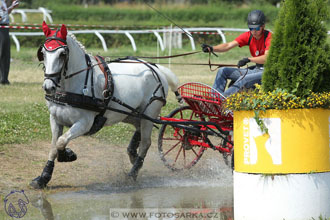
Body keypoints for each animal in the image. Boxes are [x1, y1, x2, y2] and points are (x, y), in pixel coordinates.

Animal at [30, 21, 180, 188]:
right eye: (43, 53)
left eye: (62, 54)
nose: (48, 86)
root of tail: (156, 68)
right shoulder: (55, 119)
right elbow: (53, 146)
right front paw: (43, 177)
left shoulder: (85, 123)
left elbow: (61, 141)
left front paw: (67, 154)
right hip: (131, 114)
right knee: (138, 129)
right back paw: (133, 155)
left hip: (149, 113)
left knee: (146, 143)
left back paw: (133, 173)